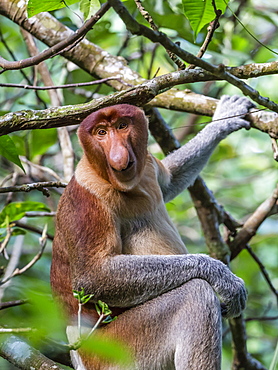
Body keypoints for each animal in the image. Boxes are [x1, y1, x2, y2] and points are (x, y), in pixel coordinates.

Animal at [50, 95, 254, 370]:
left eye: (122, 126)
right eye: (101, 133)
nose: (118, 156)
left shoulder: (148, 166)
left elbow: (169, 181)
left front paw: (224, 119)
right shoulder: (87, 201)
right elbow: (93, 275)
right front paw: (222, 276)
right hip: (115, 350)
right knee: (195, 295)